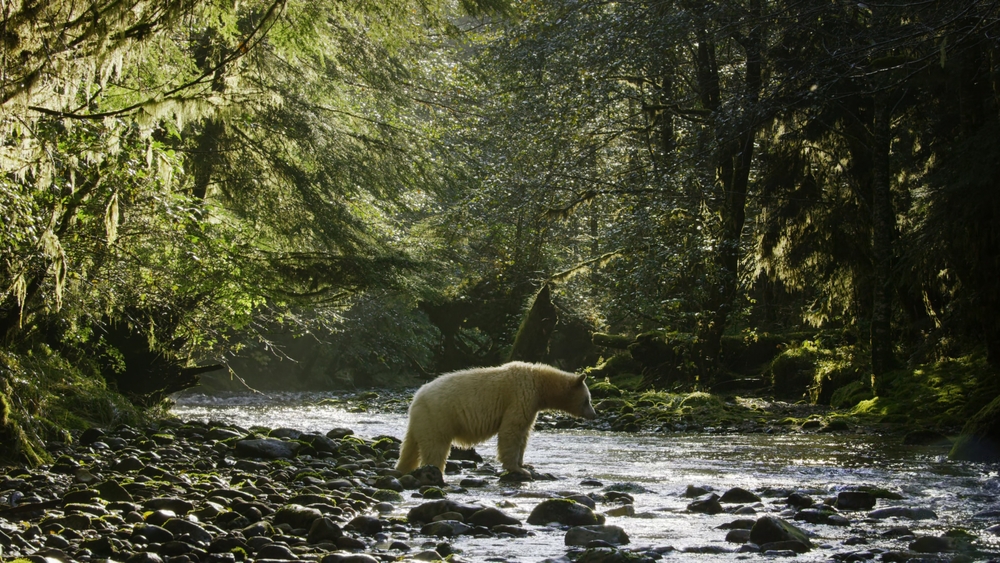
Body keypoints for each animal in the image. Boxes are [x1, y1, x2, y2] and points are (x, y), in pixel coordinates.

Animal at [395, 361, 598, 476]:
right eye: (587, 400)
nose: (594, 414)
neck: (540, 384)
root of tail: (416, 398)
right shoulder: (521, 396)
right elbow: (512, 430)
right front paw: (518, 469)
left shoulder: (531, 404)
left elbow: (524, 433)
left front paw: (525, 464)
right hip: (439, 416)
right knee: (435, 447)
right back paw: (434, 470)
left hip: (421, 420)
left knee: (409, 447)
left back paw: (402, 468)